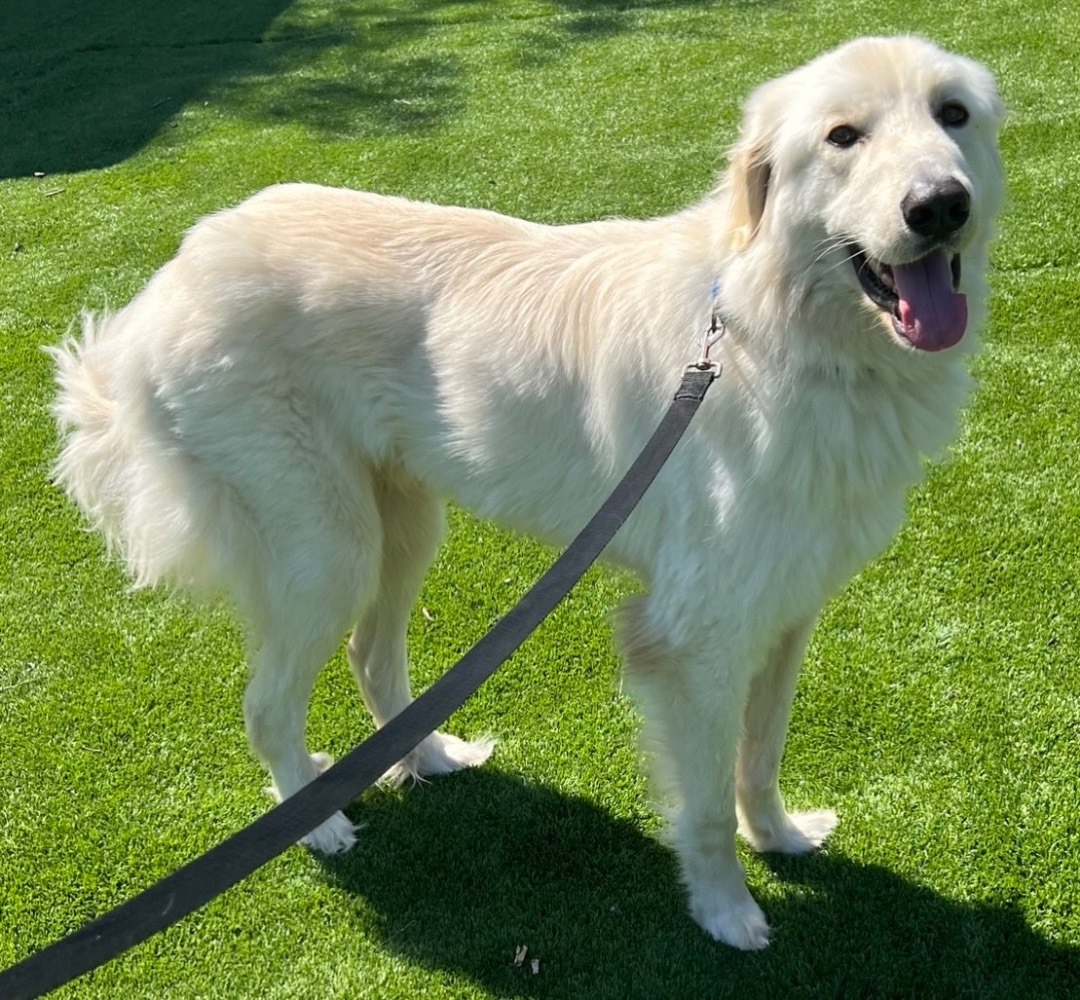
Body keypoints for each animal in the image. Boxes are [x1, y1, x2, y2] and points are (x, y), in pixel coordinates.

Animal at [52, 37, 1002, 946]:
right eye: (844, 137)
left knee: (372, 657)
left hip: (404, 526)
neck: (774, 329)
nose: (940, 206)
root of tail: (167, 282)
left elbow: (759, 756)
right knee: (267, 704)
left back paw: (429, 758)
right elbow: (701, 804)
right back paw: (317, 824)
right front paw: (725, 913)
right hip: (328, 549)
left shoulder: (785, 611)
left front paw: (781, 840)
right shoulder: (692, 638)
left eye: (953, 114)